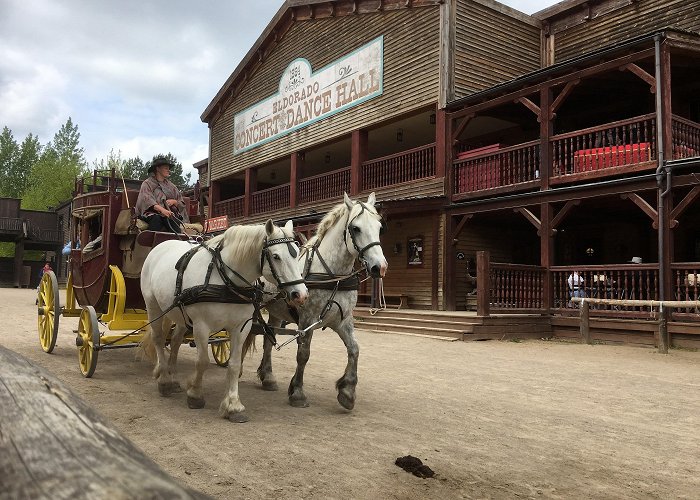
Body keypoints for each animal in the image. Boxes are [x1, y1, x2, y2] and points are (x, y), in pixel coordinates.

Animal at [141, 220, 308, 422]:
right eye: (276, 256)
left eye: (297, 253)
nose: (300, 294)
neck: (226, 279)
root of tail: (161, 245)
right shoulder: (201, 325)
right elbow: (202, 361)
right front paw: (195, 394)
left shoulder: (241, 327)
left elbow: (234, 365)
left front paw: (233, 405)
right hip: (153, 306)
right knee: (158, 339)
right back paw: (165, 380)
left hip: (180, 314)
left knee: (175, 341)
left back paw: (172, 379)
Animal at [253, 192, 388, 410]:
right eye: (356, 228)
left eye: (379, 227)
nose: (379, 267)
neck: (333, 275)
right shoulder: (307, 319)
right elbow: (303, 354)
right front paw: (297, 392)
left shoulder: (343, 320)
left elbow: (354, 349)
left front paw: (347, 391)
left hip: (275, 312)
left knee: (267, 340)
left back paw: (268, 377)